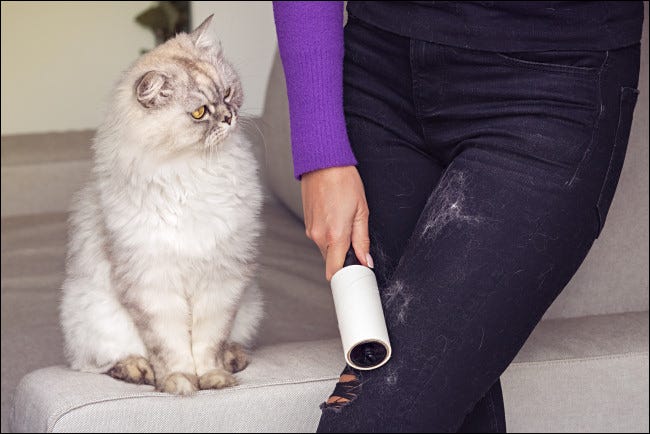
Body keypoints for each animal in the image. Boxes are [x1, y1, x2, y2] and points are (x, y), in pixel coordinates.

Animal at [59, 15, 262, 396]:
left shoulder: (222, 277)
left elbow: (209, 343)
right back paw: (139, 371)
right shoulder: (151, 283)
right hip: (92, 317)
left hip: (250, 306)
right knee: (99, 363)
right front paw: (179, 383)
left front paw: (213, 378)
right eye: (199, 113)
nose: (229, 118)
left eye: (228, 94)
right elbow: (171, 348)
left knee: (232, 342)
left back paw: (232, 359)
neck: (193, 170)